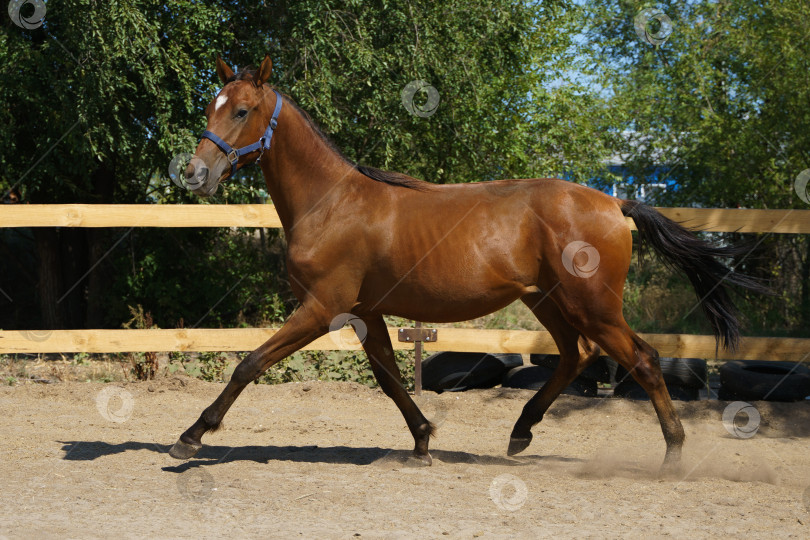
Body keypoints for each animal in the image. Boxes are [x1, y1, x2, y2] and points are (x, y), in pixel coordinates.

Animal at [169, 56, 764, 468]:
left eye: (242, 110)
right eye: (210, 106)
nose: (194, 174)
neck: (330, 203)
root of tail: (614, 203)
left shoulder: (321, 309)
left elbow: (250, 363)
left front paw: (190, 436)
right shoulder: (366, 313)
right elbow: (389, 378)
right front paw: (423, 442)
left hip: (591, 305)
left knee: (641, 358)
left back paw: (673, 453)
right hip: (549, 303)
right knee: (576, 356)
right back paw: (521, 432)